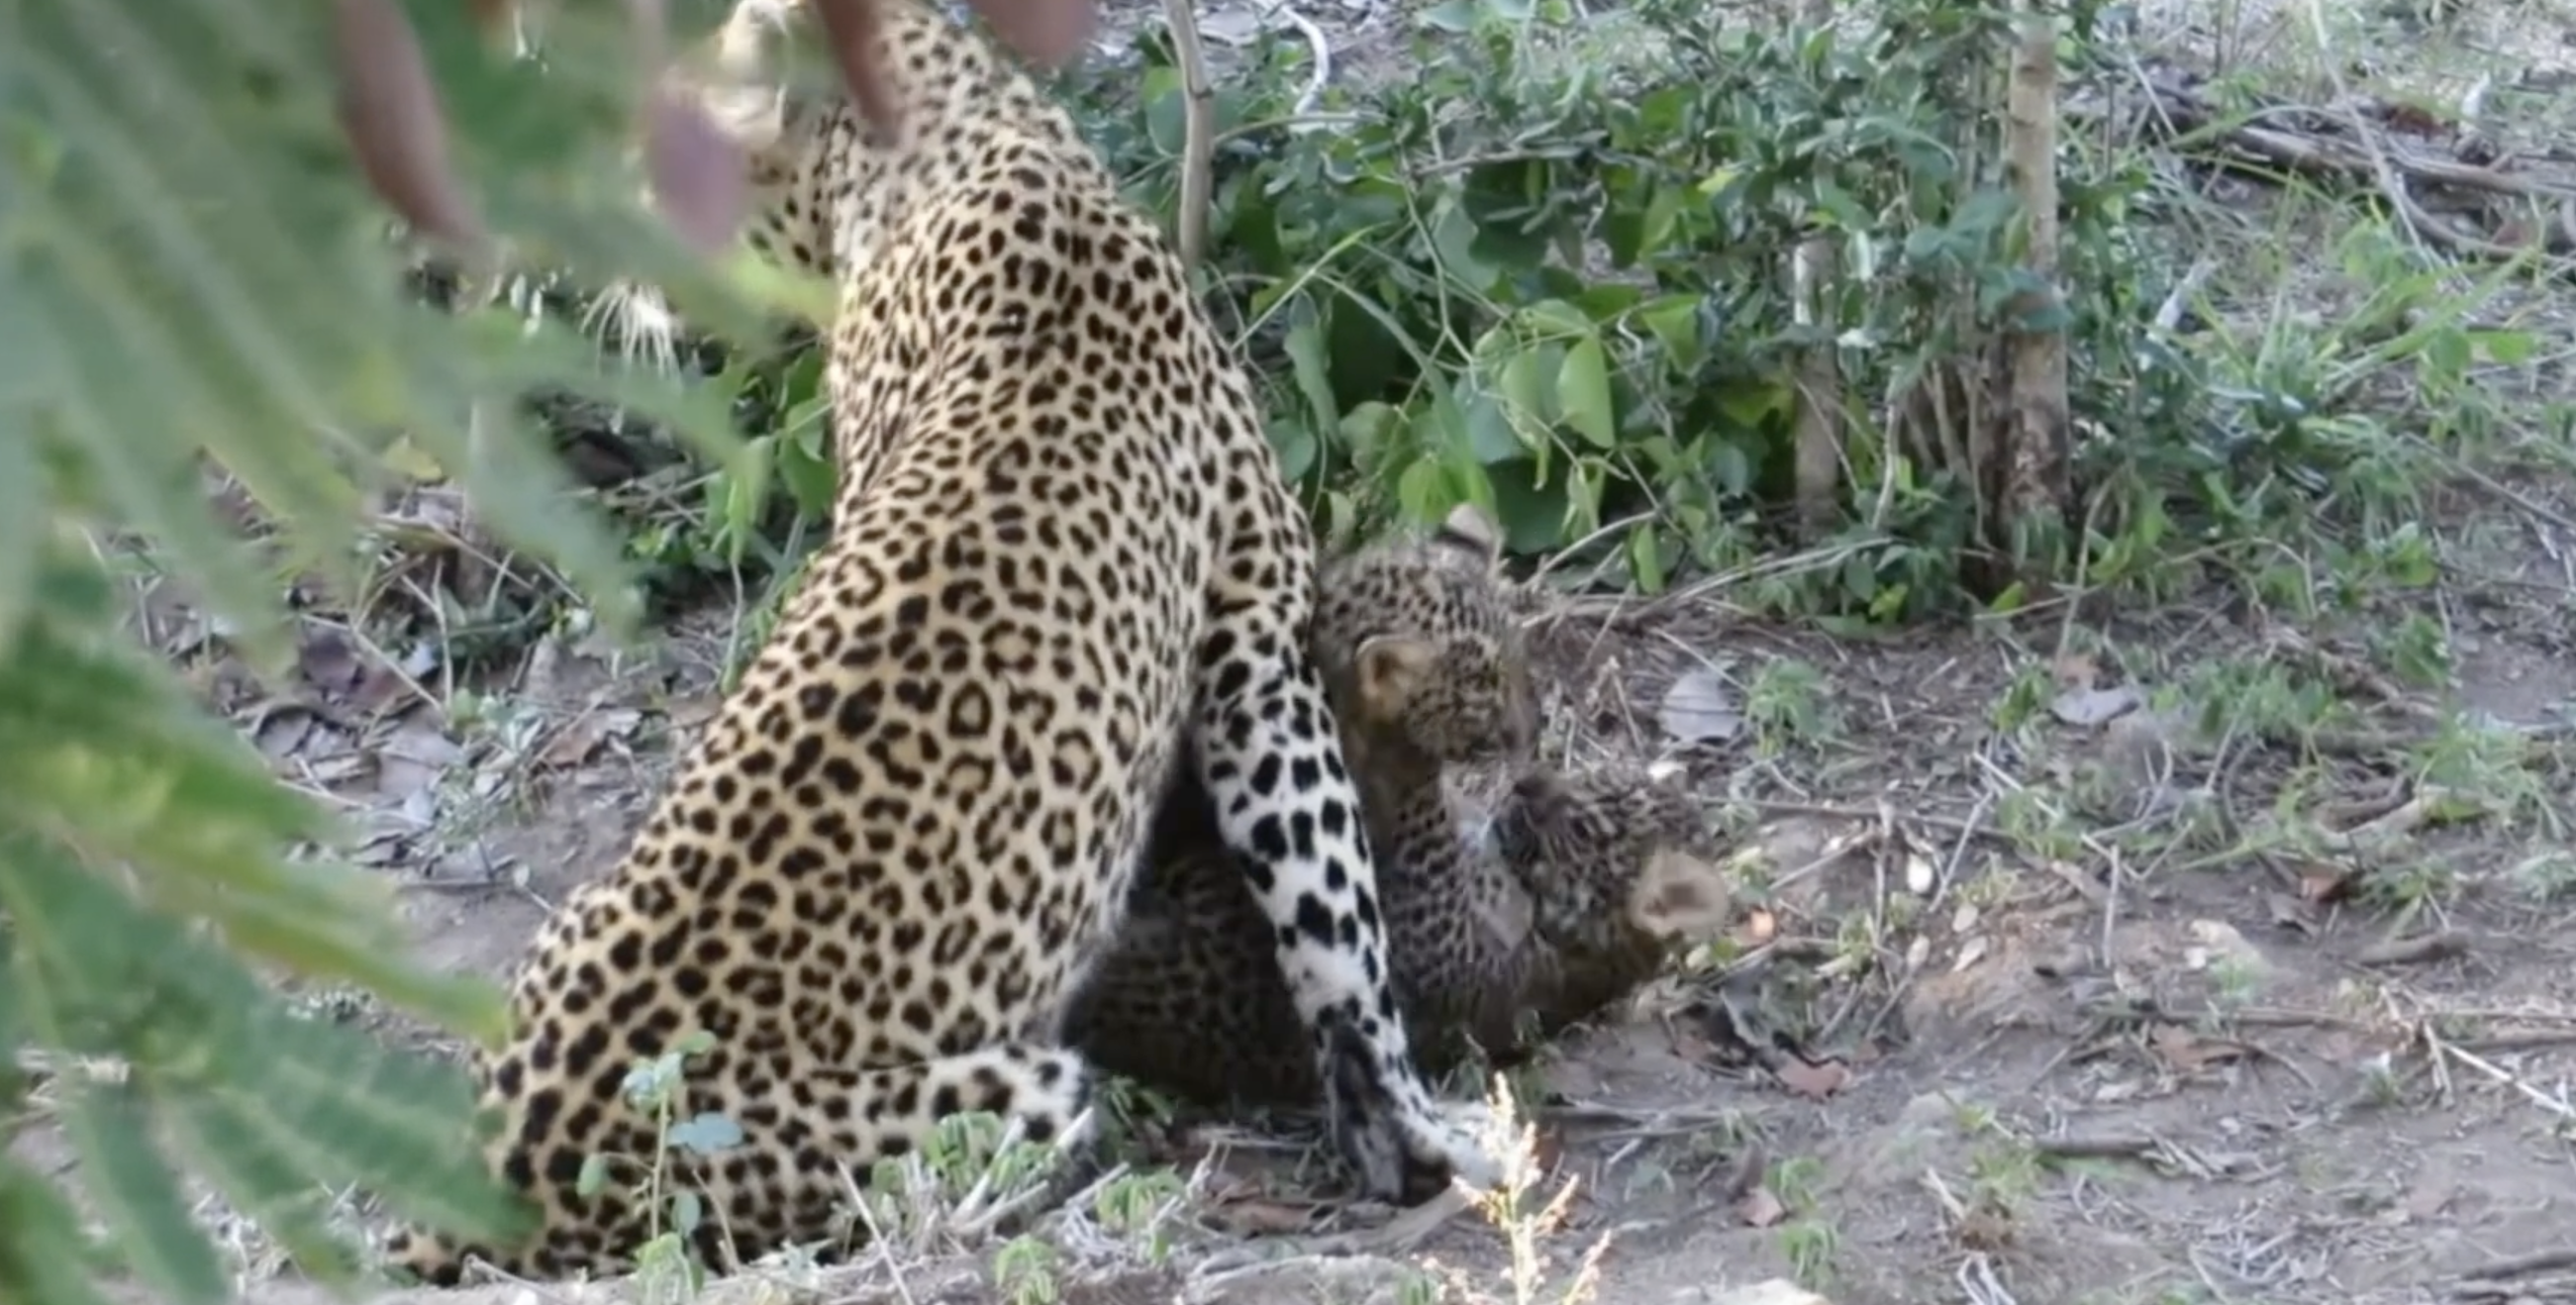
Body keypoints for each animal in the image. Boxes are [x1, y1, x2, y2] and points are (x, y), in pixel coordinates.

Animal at [373, 0, 1483, 1286]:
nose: (596, 282)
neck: (947, 143)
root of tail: (497, 1176)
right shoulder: (1254, 642)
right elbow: (1333, 907)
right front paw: (1415, 1120)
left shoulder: (1247, 639)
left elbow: (1330, 910)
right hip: (996, 1084)